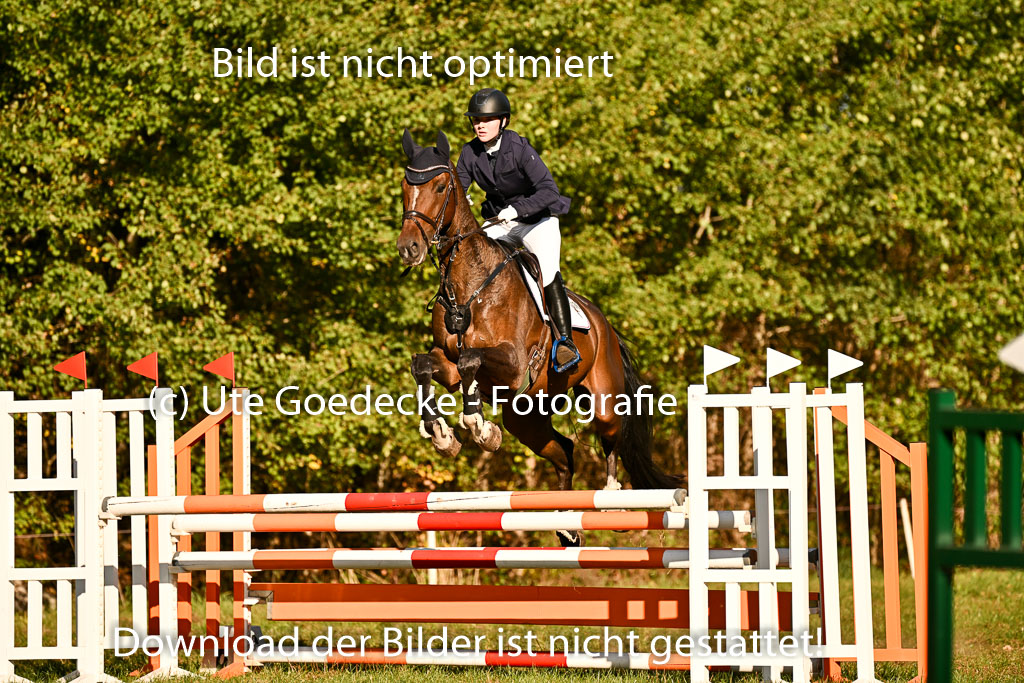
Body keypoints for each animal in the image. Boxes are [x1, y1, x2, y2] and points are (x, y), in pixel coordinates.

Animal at [396, 130, 682, 519]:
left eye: (440, 187)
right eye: (404, 185)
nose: (408, 248)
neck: (469, 287)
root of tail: (604, 324)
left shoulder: (514, 363)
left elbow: (472, 358)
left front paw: (478, 427)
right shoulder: (448, 363)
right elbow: (424, 365)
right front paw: (441, 434)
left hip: (603, 400)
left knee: (611, 438)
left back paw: (611, 495)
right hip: (526, 417)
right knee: (564, 453)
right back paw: (564, 522)